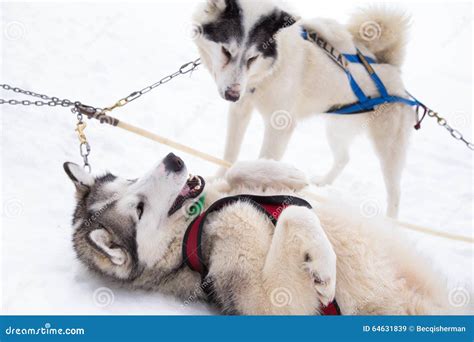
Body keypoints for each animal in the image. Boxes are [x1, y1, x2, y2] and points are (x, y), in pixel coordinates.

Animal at [193, 0, 414, 216]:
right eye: (226, 51)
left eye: (252, 58)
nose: (232, 95)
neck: (270, 70)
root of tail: (390, 67)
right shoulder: (240, 110)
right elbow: (230, 153)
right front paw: (220, 179)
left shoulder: (280, 126)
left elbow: (265, 159)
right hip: (336, 130)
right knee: (344, 158)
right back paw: (323, 182)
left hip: (388, 150)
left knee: (395, 192)